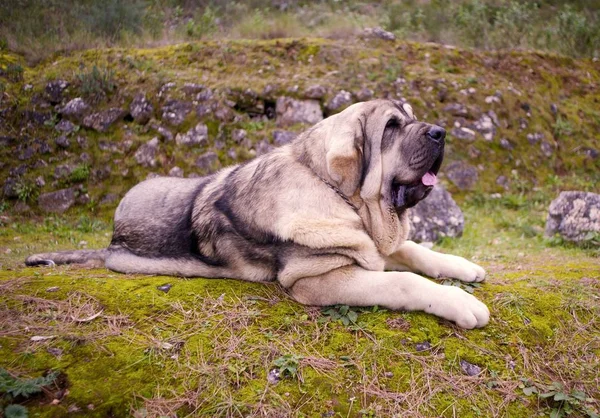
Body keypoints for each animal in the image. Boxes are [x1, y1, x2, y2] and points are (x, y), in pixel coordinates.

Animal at [25, 99, 490, 330]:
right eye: (392, 127)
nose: (441, 132)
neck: (343, 197)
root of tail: (110, 239)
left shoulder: (371, 241)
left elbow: (412, 250)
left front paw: (461, 266)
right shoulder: (319, 278)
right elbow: (403, 281)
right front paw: (459, 302)